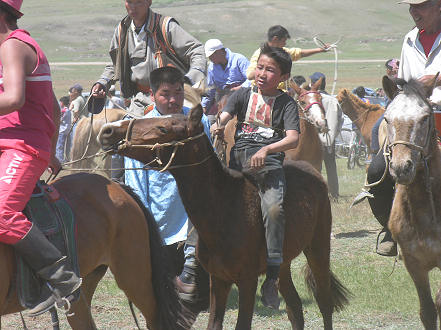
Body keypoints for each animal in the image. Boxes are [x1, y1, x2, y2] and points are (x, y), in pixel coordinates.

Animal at [98, 104, 348, 330]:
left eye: (162, 128)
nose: (108, 131)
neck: (224, 207)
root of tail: (314, 173)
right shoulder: (218, 281)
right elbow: (214, 323)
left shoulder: (247, 282)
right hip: (283, 264)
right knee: (294, 307)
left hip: (318, 248)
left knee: (324, 302)